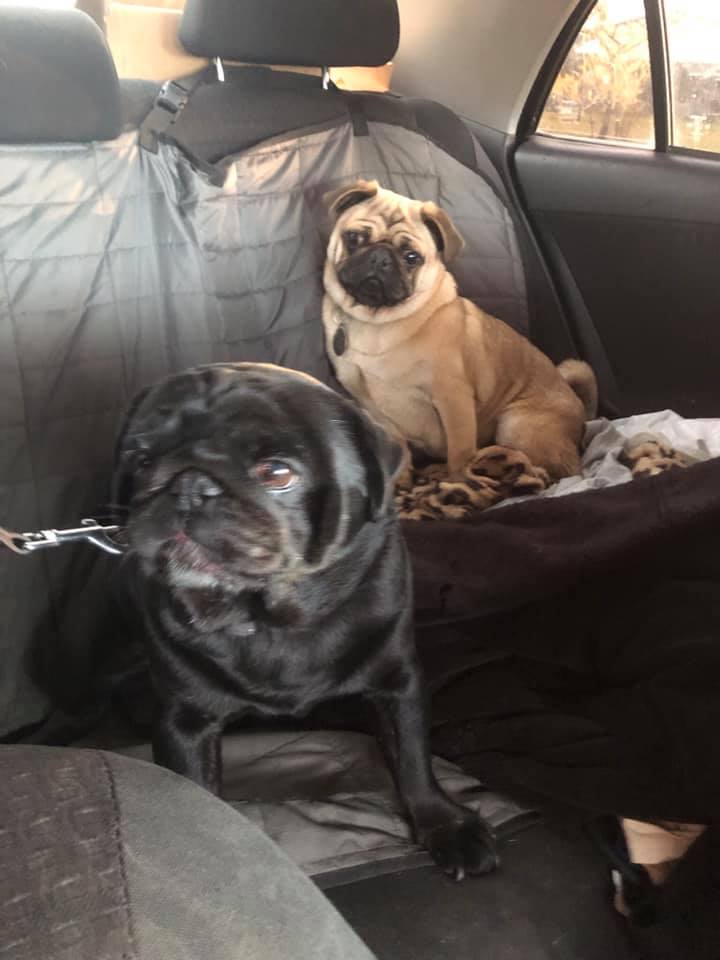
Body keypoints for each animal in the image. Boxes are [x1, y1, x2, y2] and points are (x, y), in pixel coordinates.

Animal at [114, 362, 497, 880]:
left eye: (277, 472)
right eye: (140, 459)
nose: (190, 486)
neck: (273, 620)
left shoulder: (398, 683)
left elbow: (414, 760)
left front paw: (446, 826)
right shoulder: (185, 721)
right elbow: (198, 793)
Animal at [322, 180, 597, 488]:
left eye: (411, 257)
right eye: (353, 238)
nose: (380, 257)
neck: (376, 324)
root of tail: (579, 409)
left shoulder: (453, 398)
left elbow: (459, 451)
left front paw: (458, 481)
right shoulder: (373, 408)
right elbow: (400, 449)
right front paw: (402, 480)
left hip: (515, 425)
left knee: (560, 470)